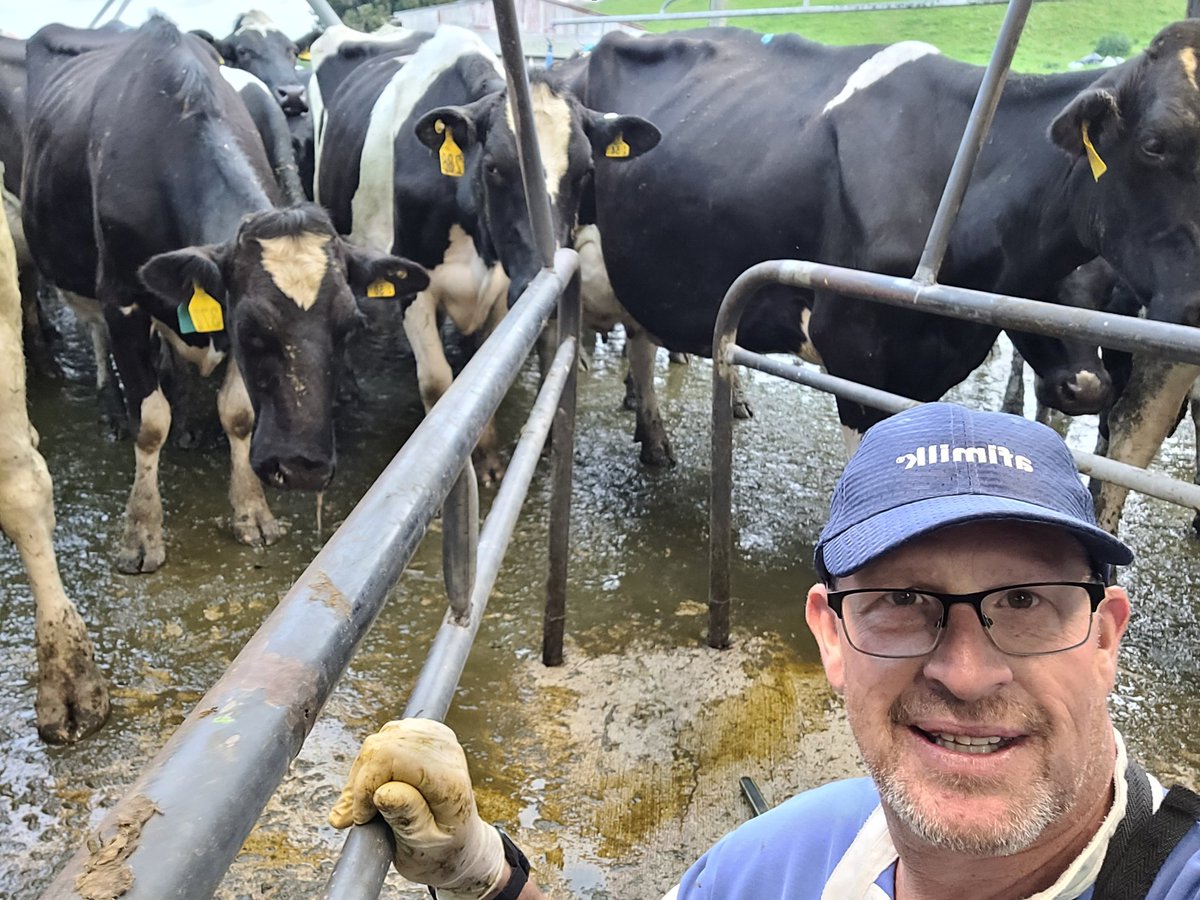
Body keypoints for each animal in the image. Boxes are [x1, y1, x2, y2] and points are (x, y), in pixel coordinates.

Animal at [23, 19, 429, 571]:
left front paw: (252, 512)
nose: (302, 467)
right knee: (95, 336)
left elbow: (238, 413)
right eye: (250, 329)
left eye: (349, 328)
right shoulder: (123, 300)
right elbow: (150, 421)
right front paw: (141, 533)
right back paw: (112, 408)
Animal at [316, 24, 657, 482]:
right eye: (494, 167)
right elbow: (438, 381)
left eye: (586, 171)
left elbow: (482, 371)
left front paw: (490, 457)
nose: (547, 297)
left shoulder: (499, 289)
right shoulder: (416, 286)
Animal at [566, 27, 1200, 465]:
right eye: (1152, 144)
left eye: (1108, 290)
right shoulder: (850, 349)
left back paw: (655, 439)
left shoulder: (934, 363)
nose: (1088, 387)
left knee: (641, 337)